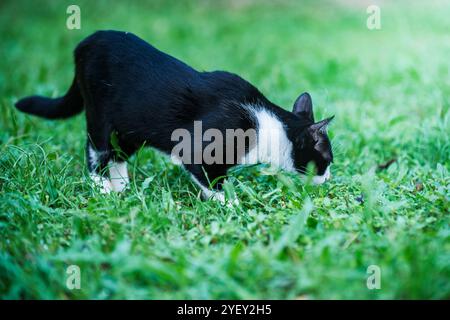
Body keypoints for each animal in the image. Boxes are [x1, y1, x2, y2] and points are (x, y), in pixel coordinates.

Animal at [15, 31, 332, 204]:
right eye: (326, 160)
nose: (328, 178)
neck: (267, 125)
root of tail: (85, 42)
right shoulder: (202, 147)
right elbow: (212, 179)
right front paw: (228, 203)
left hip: (130, 125)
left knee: (117, 153)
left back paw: (122, 188)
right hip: (101, 115)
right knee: (96, 149)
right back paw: (102, 187)